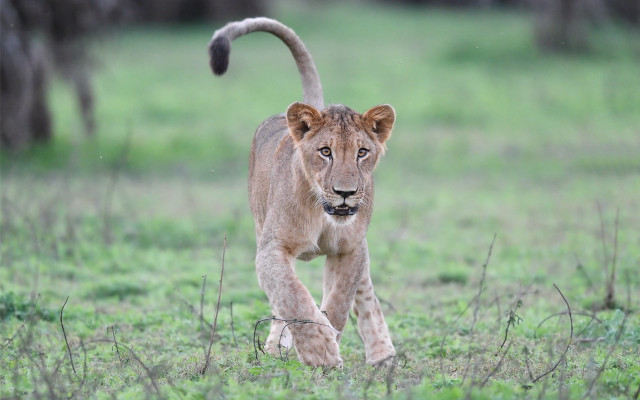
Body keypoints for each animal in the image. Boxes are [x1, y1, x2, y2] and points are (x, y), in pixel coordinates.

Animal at [208, 17, 395, 367]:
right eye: (325, 152)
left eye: (362, 152)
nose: (346, 192)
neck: (322, 211)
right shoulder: (271, 250)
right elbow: (291, 297)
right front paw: (320, 352)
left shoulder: (350, 248)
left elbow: (340, 300)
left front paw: (329, 339)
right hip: (261, 227)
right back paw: (274, 346)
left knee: (364, 291)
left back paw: (382, 353)